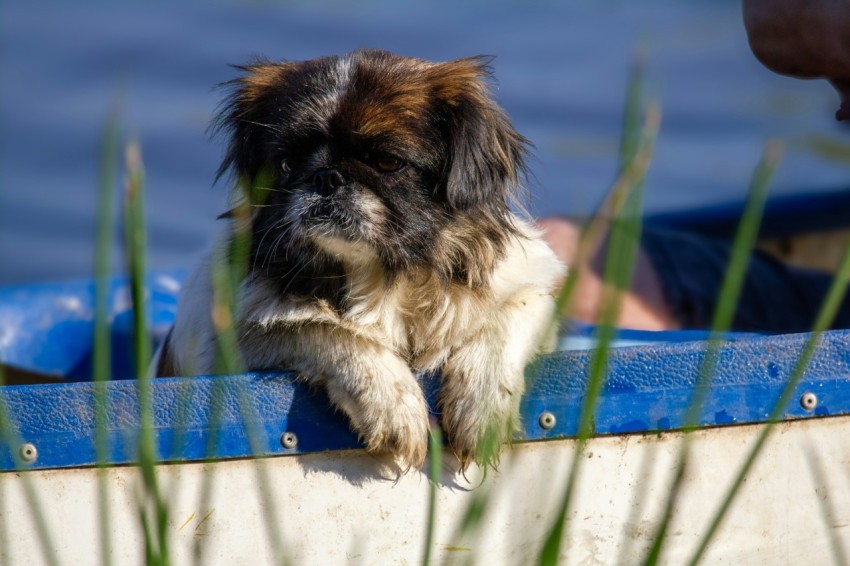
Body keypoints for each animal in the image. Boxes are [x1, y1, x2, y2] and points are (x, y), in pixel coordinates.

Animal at [157, 51, 564, 472]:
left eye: (387, 162)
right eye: (285, 165)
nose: (325, 177)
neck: (387, 277)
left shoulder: (530, 290)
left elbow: (517, 309)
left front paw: (480, 405)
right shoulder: (235, 340)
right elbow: (327, 329)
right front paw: (394, 403)